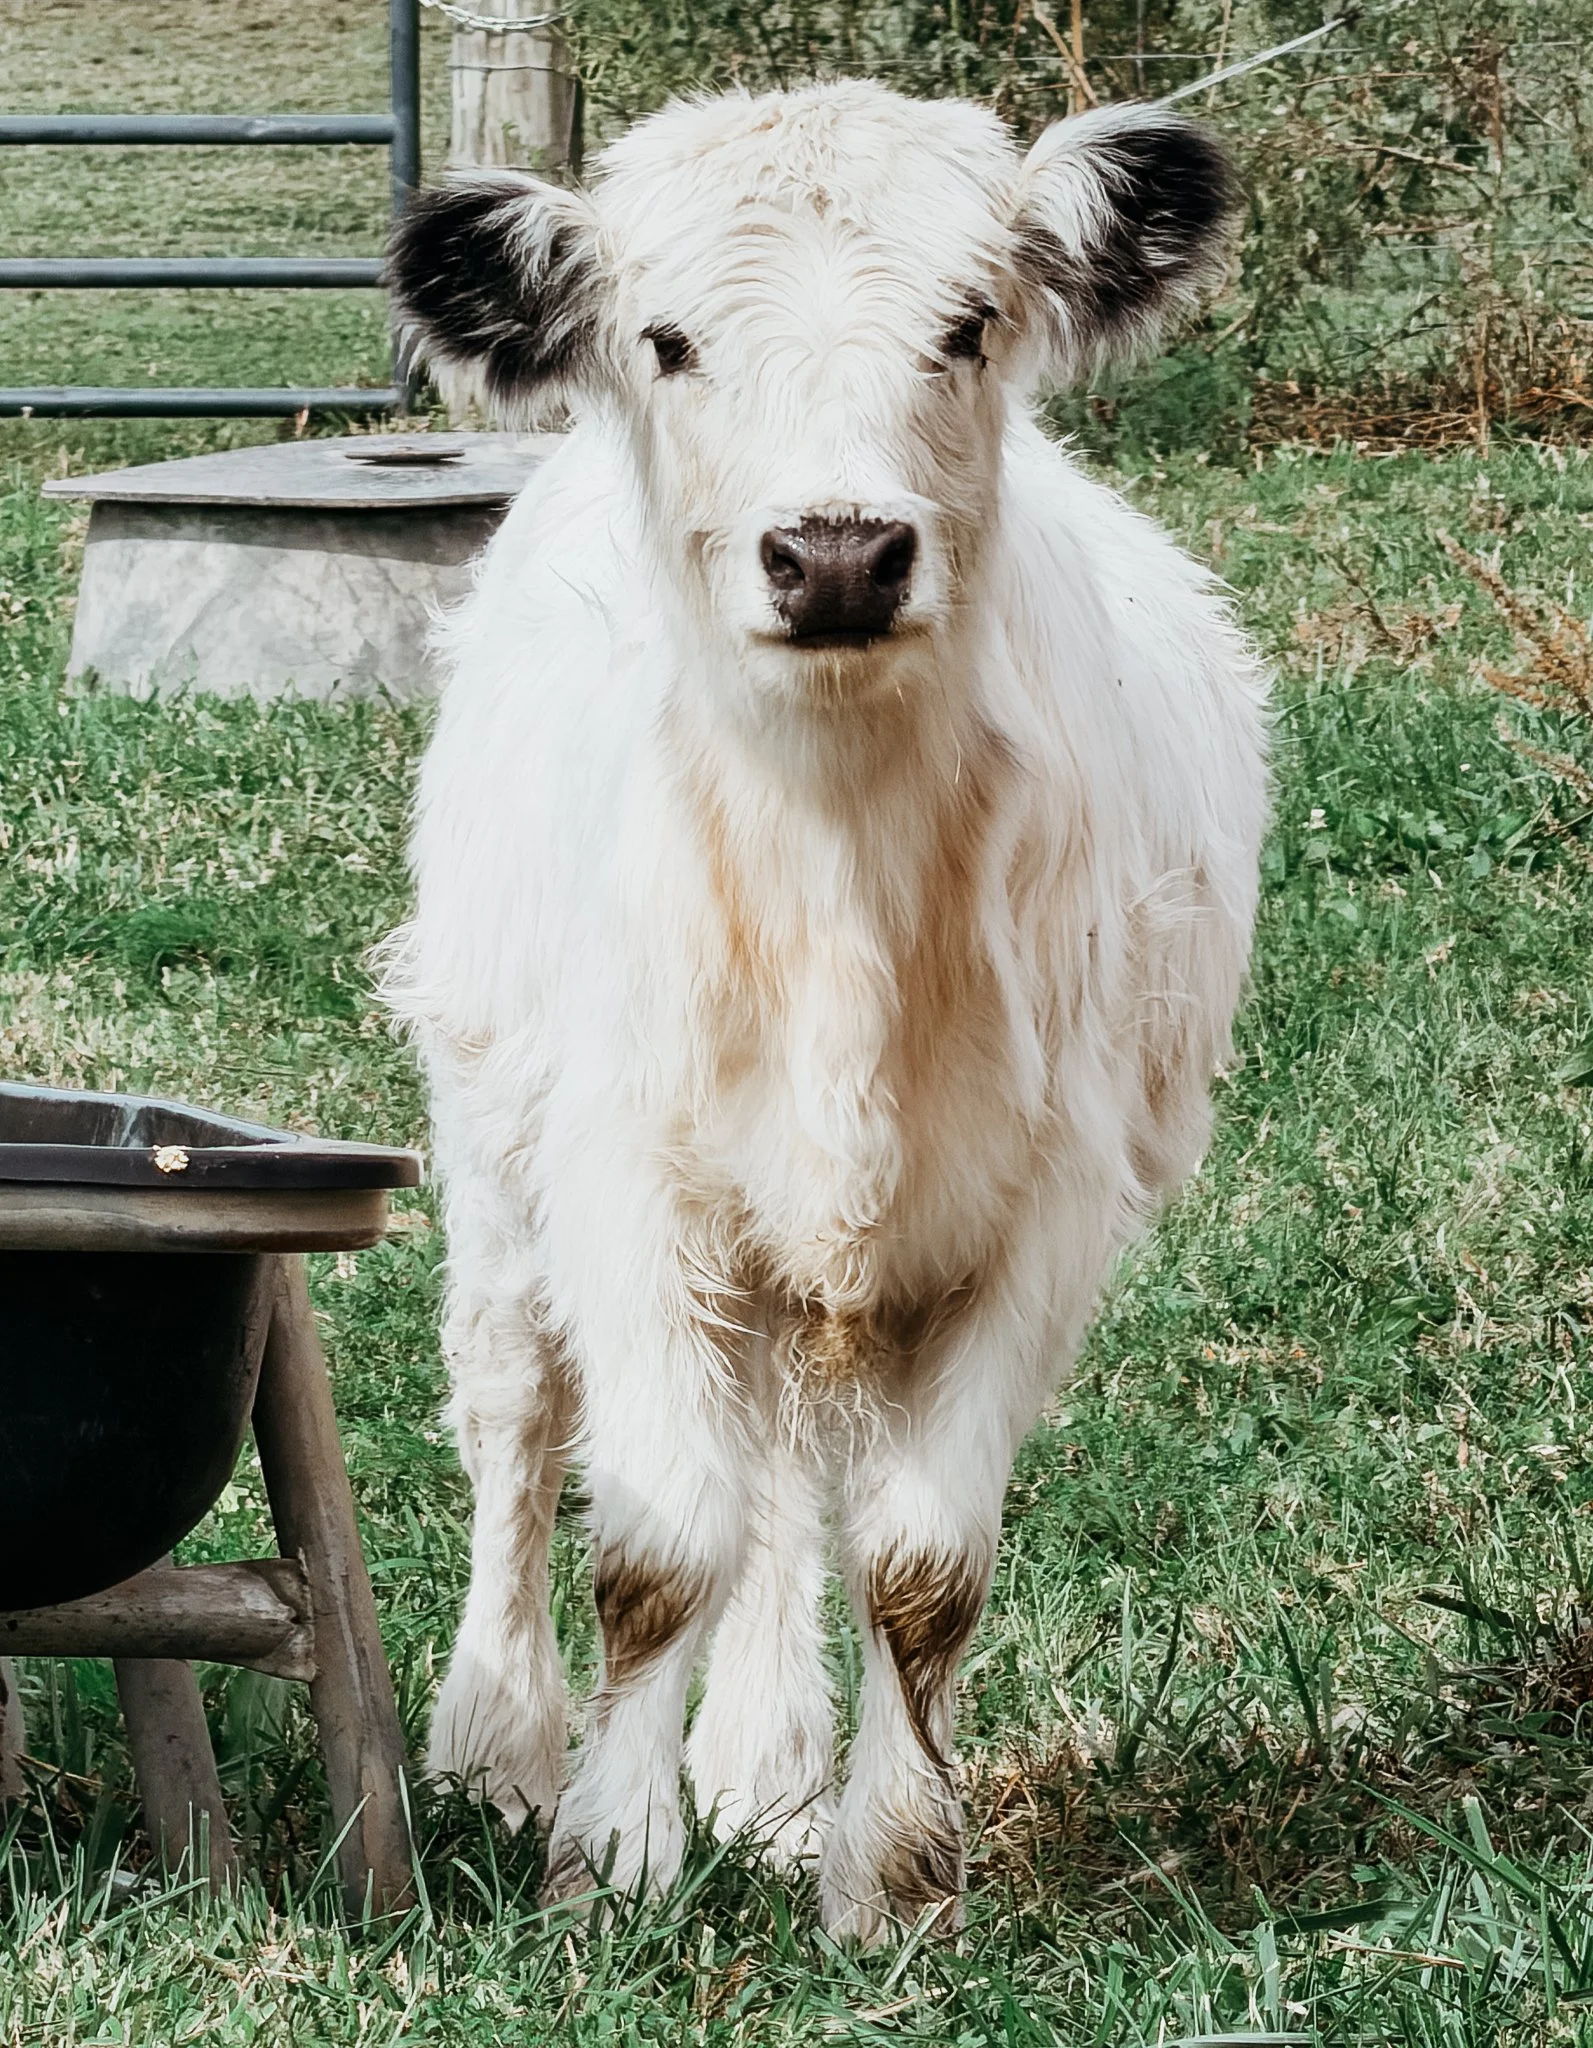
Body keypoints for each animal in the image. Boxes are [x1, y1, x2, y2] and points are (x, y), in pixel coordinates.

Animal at [383, 78, 1269, 1943]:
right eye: (667, 339)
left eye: (967, 324)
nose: (842, 552)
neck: (837, 880)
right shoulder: (626, 1184)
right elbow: (653, 1543)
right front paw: (609, 1860)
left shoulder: (1039, 1214)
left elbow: (920, 1567)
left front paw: (892, 1875)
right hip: (491, 1142)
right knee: (517, 1418)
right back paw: (498, 1745)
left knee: (790, 1482)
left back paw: (773, 1775)